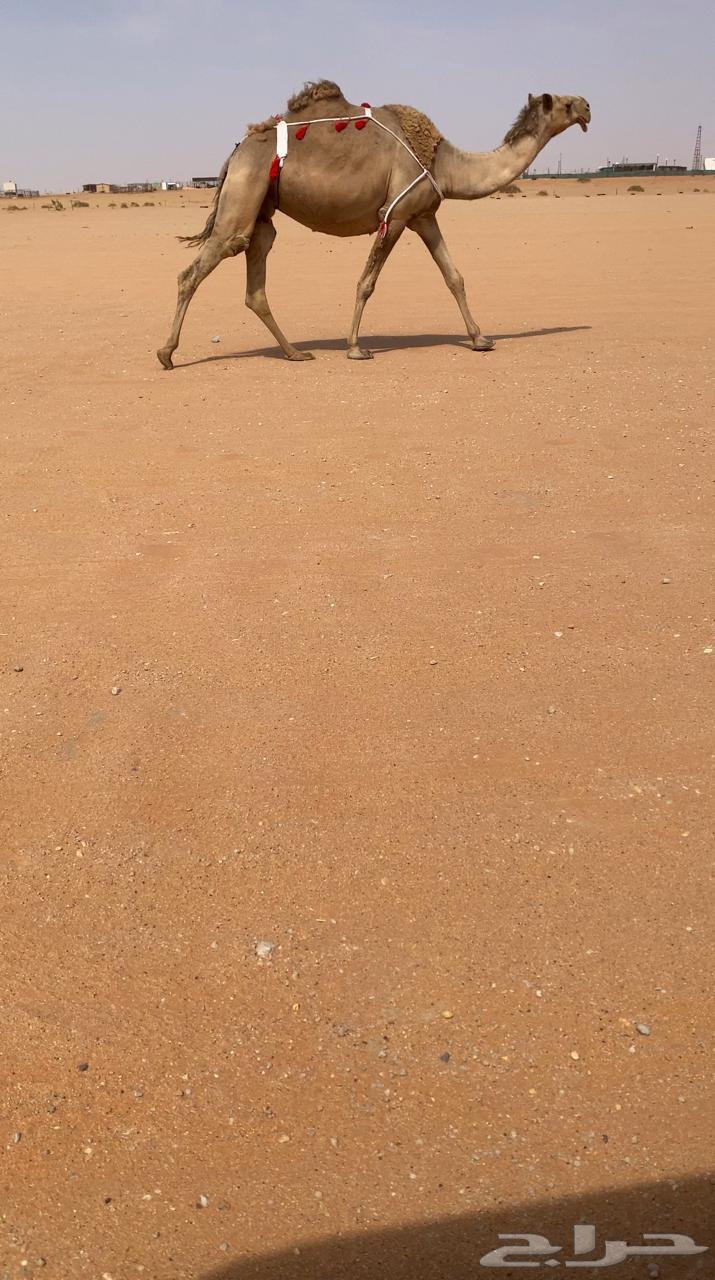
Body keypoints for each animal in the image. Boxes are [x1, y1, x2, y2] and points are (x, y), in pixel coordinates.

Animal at [157, 82, 590, 369]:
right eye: (565, 102)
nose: (588, 106)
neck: (445, 164)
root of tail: (234, 154)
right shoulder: (395, 216)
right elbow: (367, 281)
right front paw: (355, 347)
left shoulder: (424, 215)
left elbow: (454, 276)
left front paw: (481, 338)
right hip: (245, 191)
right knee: (199, 267)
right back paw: (166, 353)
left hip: (262, 207)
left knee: (256, 277)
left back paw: (295, 352)